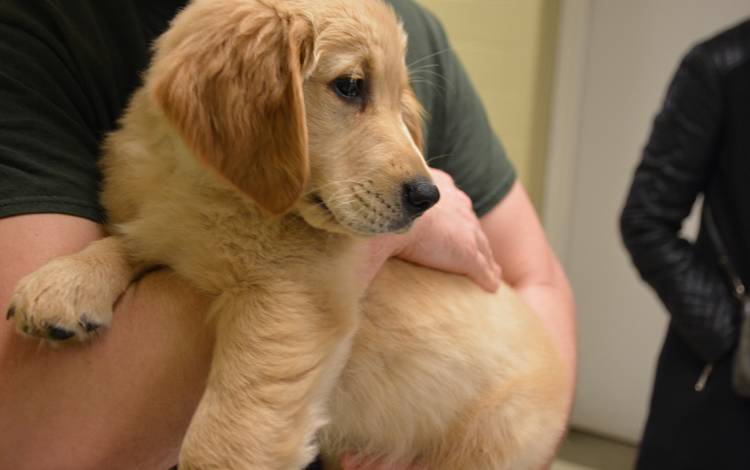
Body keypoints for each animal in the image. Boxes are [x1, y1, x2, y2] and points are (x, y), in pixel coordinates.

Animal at [7, 0, 568, 468]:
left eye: (396, 100)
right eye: (350, 85)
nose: (429, 197)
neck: (213, 191)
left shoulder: (290, 295)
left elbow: (221, 441)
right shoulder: (168, 223)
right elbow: (130, 239)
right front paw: (66, 282)